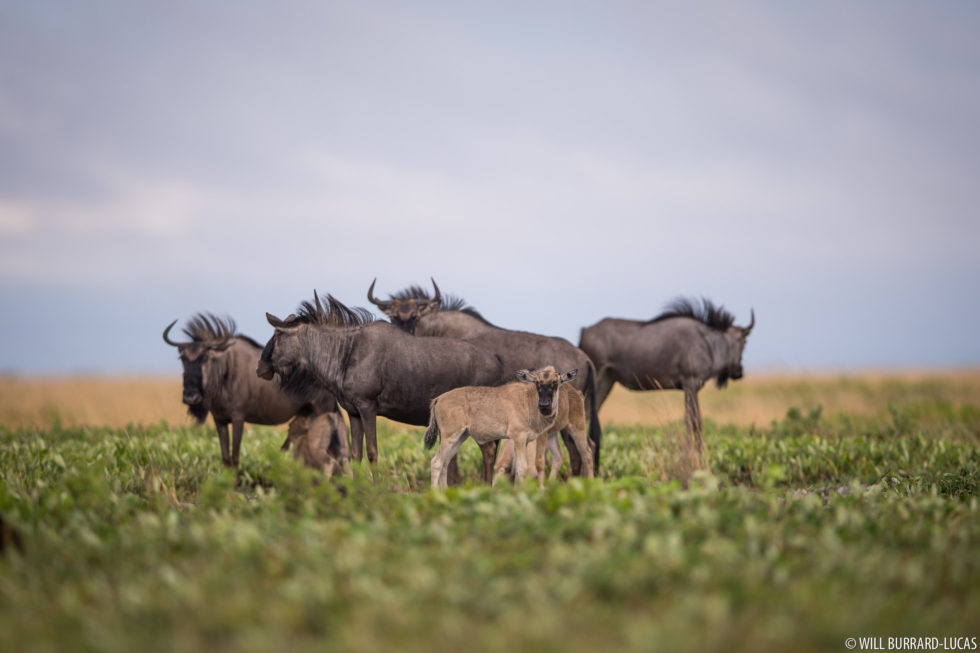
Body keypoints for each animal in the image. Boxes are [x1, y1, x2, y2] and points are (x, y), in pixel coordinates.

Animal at [424, 364, 592, 486]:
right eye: (537, 382)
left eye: (555, 383)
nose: (544, 406)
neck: (528, 400)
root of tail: (438, 399)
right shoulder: (518, 438)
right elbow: (523, 468)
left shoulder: (524, 441)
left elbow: (518, 470)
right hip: (450, 438)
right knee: (436, 462)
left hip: (460, 438)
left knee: (444, 463)